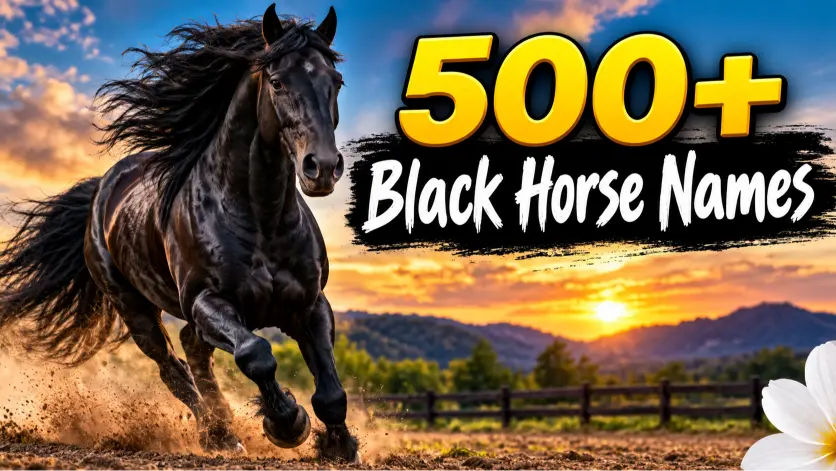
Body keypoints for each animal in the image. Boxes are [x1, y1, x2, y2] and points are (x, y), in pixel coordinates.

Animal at [0, 3, 359, 461]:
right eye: (277, 81)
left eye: (336, 81)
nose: (323, 168)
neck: (261, 218)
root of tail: (101, 192)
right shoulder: (209, 301)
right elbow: (256, 354)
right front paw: (286, 423)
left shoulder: (309, 305)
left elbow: (329, 389)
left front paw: (339, 445)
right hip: (136, 310)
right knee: (174, 367)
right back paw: (218, 434)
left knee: (192, 349)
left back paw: (224, 429)